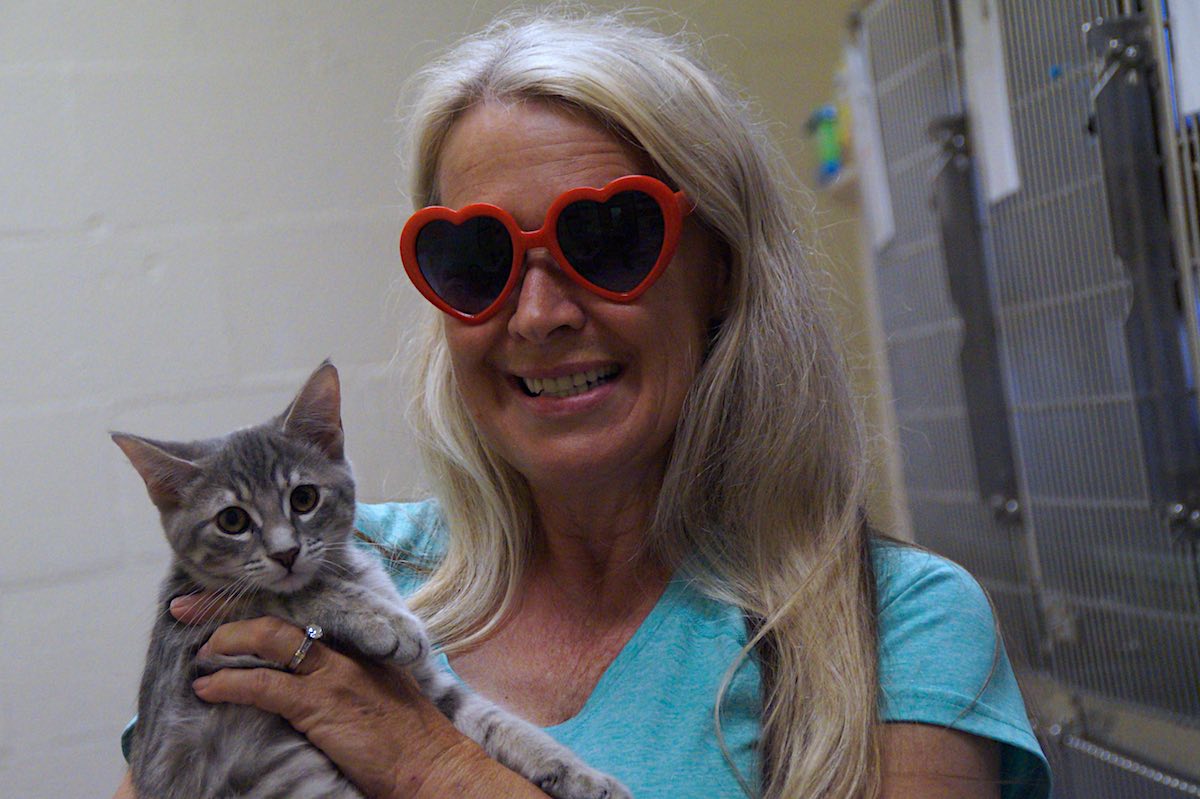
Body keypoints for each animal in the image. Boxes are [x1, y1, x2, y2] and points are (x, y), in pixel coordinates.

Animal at [115, 362, 633, 796]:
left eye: (304, 498)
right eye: (232, 521)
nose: (285, 552)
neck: (351, 570)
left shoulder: (431, 688)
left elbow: (494, 719)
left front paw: (575, 771)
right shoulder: (194, 644)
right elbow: (283, 596)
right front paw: (384, 623)